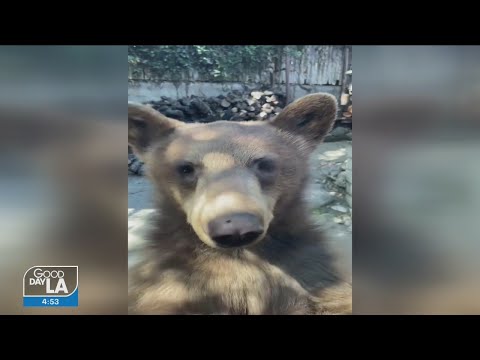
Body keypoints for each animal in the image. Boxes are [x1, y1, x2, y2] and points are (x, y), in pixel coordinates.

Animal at [127, 93, 352, 316]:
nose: (236, 228)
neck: (241, 256)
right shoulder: (172, 280)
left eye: (264, 164)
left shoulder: (312, 268)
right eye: (186, 168)